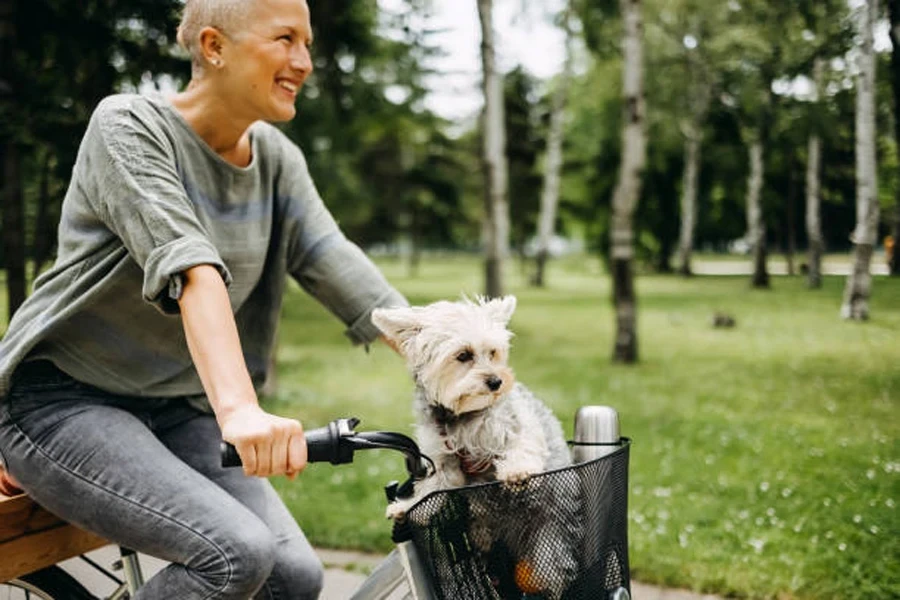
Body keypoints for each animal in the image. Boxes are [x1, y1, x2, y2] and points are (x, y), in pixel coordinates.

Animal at [370, 296, 576, 600]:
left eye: (492, 352)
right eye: (464, 355)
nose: (497, 381)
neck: (464, 414)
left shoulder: (518, 424)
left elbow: (523, 445)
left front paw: (517, 471)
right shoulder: (443, 462)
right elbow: (431, 490)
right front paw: (408, 506)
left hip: (548, 548)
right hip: (483, 532)